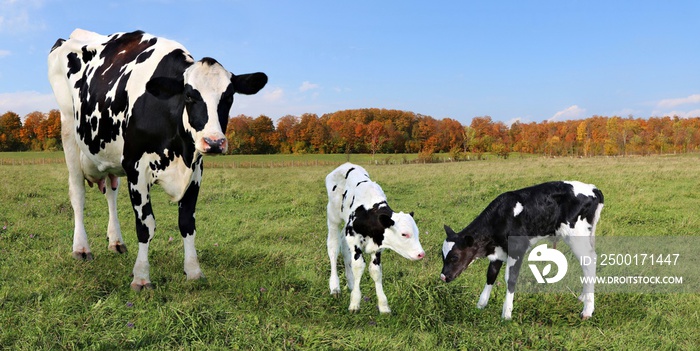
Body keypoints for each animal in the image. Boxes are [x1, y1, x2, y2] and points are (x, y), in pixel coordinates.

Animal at [46, 28, 266, 292]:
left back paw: (116, 241)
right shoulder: (136, 169)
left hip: (110, 156)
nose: (214, 142)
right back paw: (81, 248)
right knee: (77, 194)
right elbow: (145, 226)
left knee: (111, 193)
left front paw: (193, 271)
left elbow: (187, 223)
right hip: (69, 130)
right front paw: (141, 277)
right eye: (189, 96)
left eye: (229, 97)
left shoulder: (196, 171)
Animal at [324, 163, 426, 314]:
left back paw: (350, 283)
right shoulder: (355, 241)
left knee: (344, 247)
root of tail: (345, 165)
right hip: (333, 217)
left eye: (417, 232)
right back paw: (335, 287)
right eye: (404, 234)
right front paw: (355, 303)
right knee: (333, 248)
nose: (421, 254)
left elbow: (376, 271)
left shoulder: (377, 247)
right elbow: (359, 267)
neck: (369, 212)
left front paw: (383, 306)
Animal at [440, 183, 604, 320]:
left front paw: (506, 314)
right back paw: (583, 297)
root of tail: (593, 188)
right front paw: (481, 305)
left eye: (455, 257)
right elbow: (491, 274)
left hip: (576, 236)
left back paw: (587, 310)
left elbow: (511, 279)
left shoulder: (517, 249)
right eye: (442, 256)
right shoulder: (499, 251)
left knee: (589, 262)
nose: (443, 277)